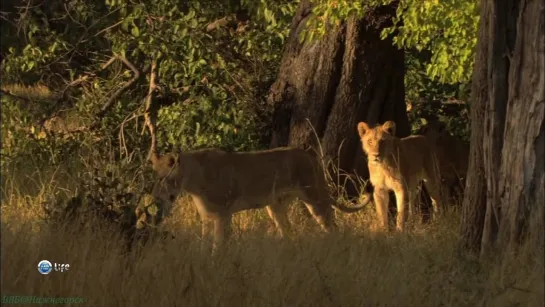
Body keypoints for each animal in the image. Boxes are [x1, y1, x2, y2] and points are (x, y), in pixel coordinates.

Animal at [149, 148, 370, 251]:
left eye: (162, 178)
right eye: (154, 176)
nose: (156, 196)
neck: (192, 181)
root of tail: (309, 154)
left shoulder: (223, 214)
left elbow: (219, 244)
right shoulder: (207, 216)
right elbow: (205, 243)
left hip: (314, 197)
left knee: (331, 226)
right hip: (275, 207)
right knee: (289, 233)